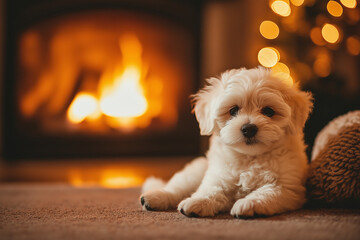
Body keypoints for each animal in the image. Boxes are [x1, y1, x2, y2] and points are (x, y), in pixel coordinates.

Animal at [140, 66, 312, 218]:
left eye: (268, 111)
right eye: (233, 110)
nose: (249, 128)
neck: (250, 157)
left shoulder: (286, 187)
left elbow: (267, 193)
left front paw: (247, 204)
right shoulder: (218, 176)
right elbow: (210, 189)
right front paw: (197, 201)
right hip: (195, 171)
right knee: (176, 187)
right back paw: (155, 197)